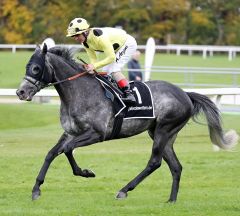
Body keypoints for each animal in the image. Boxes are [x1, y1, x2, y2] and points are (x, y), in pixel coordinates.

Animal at [16, 44, 238, 202]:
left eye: (36, 68)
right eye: (27, 66)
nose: (21, 92)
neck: (79, 91)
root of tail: (185, 94)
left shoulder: (97, 134)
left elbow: (68, 150)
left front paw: (85, 172)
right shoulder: (70, 132)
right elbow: (52, 153)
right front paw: (36, 190)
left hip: (164, 130)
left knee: (155, 162)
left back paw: (124, 190)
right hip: (163, 133)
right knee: (175, 166)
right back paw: (171, 200)